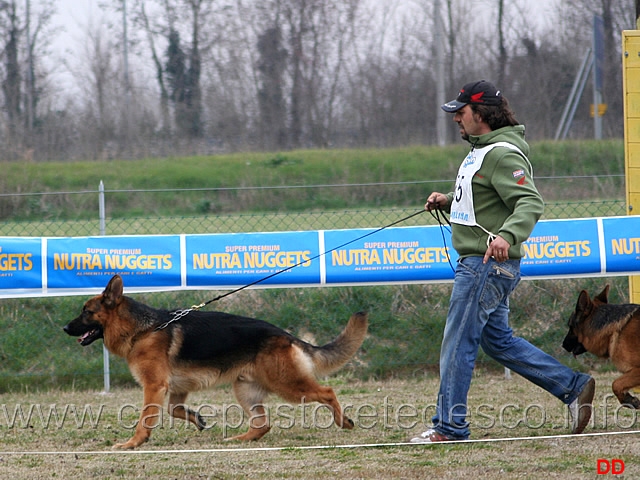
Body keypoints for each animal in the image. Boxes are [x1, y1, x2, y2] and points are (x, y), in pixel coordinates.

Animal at [63, 276, 370, 448]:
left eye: (86, 312)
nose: (65, 328)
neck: (143, 329)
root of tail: (285, 334)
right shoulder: (175, 389)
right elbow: (175, 410)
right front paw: (197, 420)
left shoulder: (154, 386)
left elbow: (145, 420)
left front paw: (132, 444)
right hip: (245, 390)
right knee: (263, 425)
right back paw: (239, 440)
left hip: (288, 385)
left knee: (327, 392)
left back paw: (344, 421)